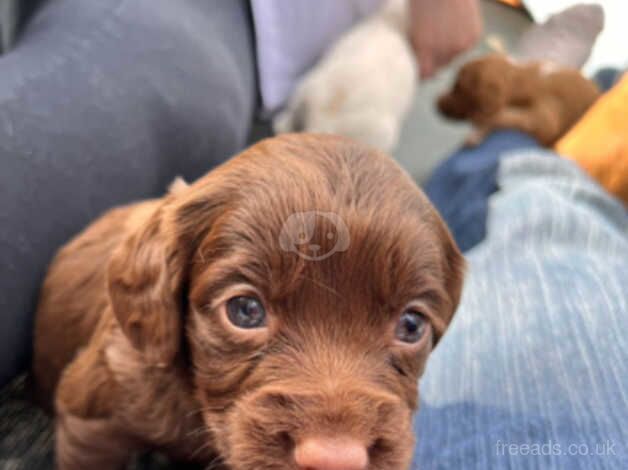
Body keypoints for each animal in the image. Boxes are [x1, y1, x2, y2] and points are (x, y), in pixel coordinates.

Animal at [274, 0, 418, 151]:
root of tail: (325, 120)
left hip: (306, 86)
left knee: (291, 113)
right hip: (379, 137)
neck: (391, 22)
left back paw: (282, 124)